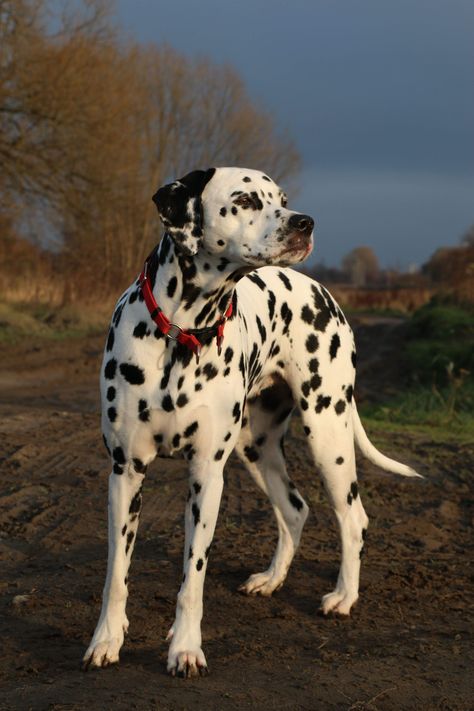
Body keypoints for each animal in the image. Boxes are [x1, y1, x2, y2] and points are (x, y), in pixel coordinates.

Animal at [81, 165, 418, 680]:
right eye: (244, 200)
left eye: (282, 199)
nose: (305, 223)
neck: (183, 332)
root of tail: (325, 293)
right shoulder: (125, 472)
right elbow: (116, 574)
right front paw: (106, 640)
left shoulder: (207, 476)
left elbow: (193, 578)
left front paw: (185, 648)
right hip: (256, 447)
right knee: (295, 508)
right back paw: (271, 580)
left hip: (328, 431)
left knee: (352, 517)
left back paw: (343, 596)